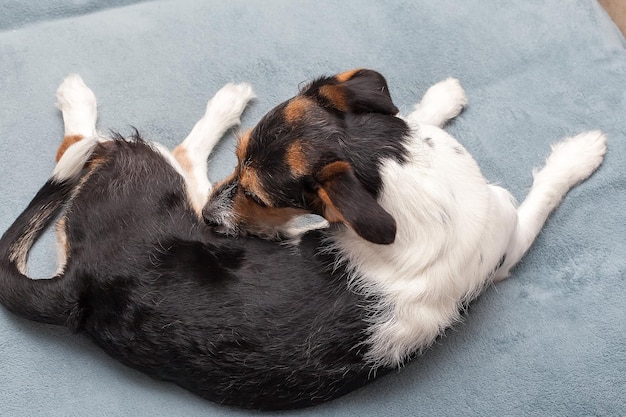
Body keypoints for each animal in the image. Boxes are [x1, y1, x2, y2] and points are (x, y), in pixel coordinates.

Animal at [0, 71, 604, 410]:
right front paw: (578, 157)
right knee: (122, 148)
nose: (214, 223)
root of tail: (81, 284)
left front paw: (440, 100)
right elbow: (543, 194)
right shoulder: (508, 237)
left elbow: (408, 115)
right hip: (165, 174)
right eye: (239, 159)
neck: (396, 173)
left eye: (259, 194)